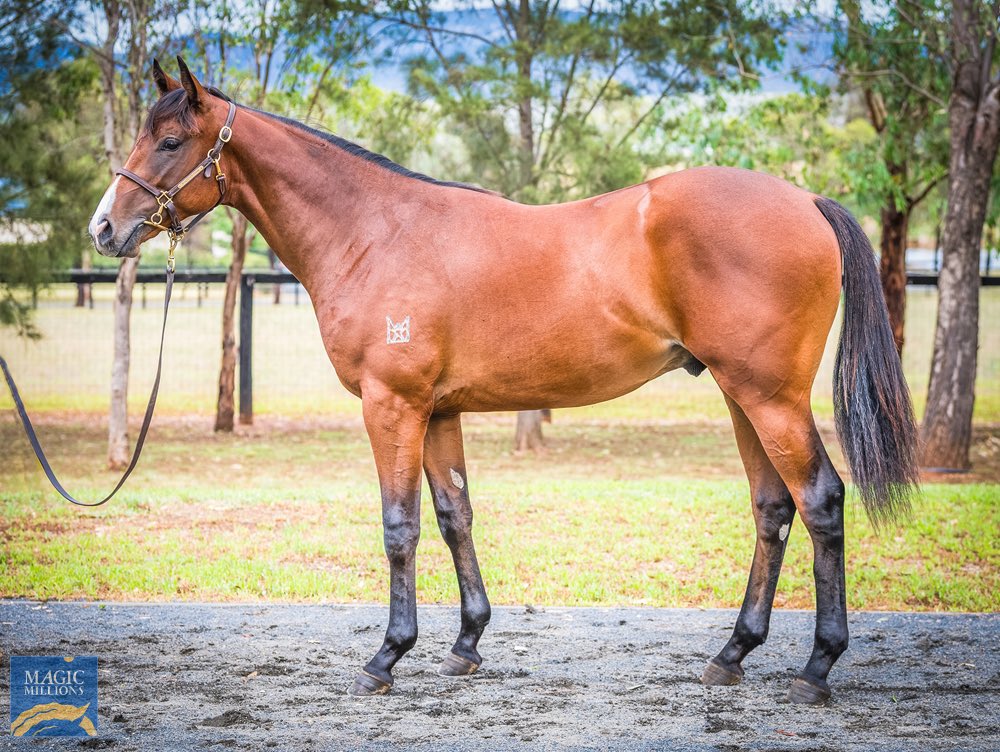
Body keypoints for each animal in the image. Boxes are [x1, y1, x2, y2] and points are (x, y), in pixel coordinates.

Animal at [90, 60, 916, 704]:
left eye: (170, 141)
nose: (104, 229)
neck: (375, 231)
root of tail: (805, 200)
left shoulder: (392, 407)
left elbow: (399, 526)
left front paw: (387, 656)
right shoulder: (437, 411)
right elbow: (454, 514)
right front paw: (466, 643)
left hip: (770, 399)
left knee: (821, 501)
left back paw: (816, 668)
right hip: (740, 394)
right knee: (773, 508)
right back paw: (732, 655)